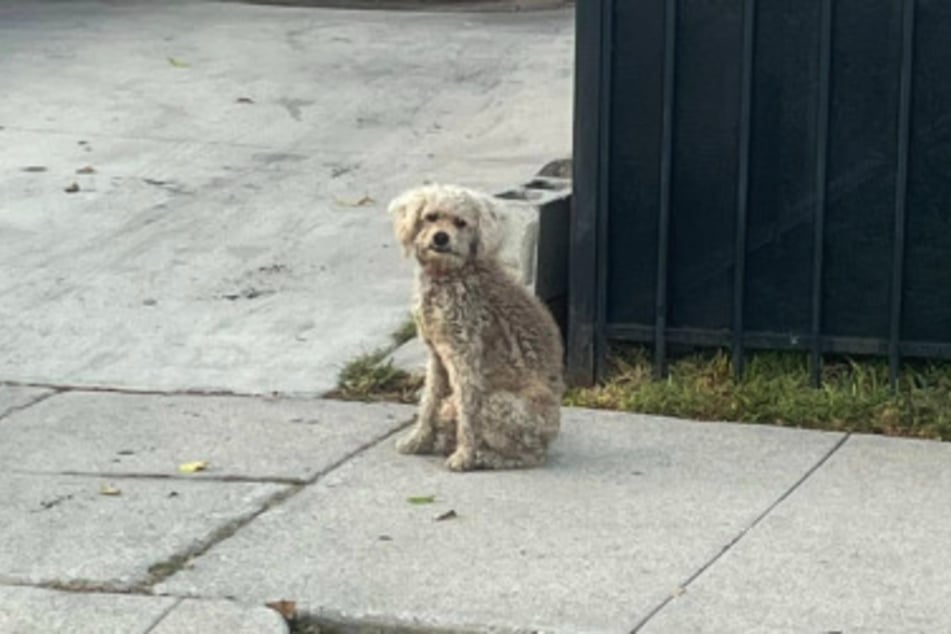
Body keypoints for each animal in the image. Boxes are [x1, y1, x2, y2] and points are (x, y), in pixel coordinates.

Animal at [388, 183, 564, 470]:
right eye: (431, 217)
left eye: (461, 223)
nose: (441, 237)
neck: (449, 275)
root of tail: (550, 437)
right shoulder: (437, 356)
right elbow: (428, 402)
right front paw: (418, 441)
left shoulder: (465, 357)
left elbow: (467, 412)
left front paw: (464, 456)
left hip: (498, 405)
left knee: (526, 456)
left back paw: (485, 456)